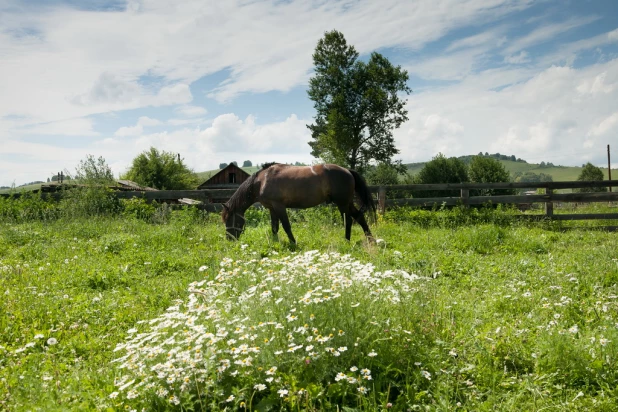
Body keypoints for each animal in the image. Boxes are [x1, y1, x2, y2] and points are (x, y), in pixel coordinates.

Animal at [221, 163, 376, 243]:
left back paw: (347, 240)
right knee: (359, 217)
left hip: (342, 203)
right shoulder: (272, 208)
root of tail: (347, 170)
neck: (262, 180)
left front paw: (293, 243)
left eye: (229, 220)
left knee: (348, 220)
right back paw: (370, 240)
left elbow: (286, 226)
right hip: (347, 203)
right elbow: (274, 227)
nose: (229, 239)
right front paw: (275, 243)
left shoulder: (279, 206)